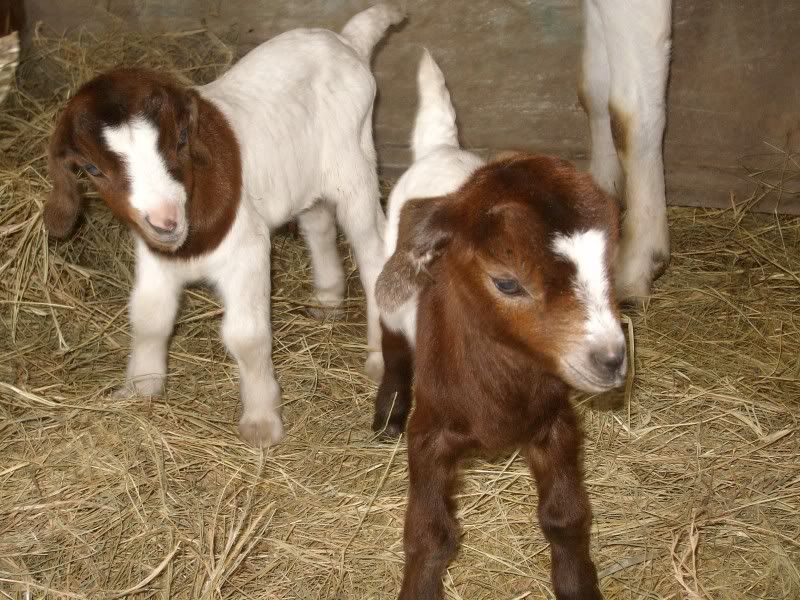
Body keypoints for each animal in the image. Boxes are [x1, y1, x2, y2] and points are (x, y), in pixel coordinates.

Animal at [43, 4, 404, 447]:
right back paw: (327, 300)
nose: (165, 220)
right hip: (305, 174)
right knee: (317, 222)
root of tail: (348, 41)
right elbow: (148, 317)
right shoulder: (155, 258)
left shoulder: (248, 252)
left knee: (372, 254)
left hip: (353, 169)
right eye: (92, 168)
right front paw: (140, 389)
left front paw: (262, 423)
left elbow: (245, 336)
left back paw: (377, 357)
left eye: (181, 138)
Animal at [374, 52, 626, 600]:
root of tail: (443, 148)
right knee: (390, 335)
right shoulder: (430, 433)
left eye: (609, 265)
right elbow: (429, 535)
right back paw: (386, 412)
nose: (613, 359)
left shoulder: (556, 423)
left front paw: (578, 585)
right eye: (507, 282)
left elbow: (565, 517)